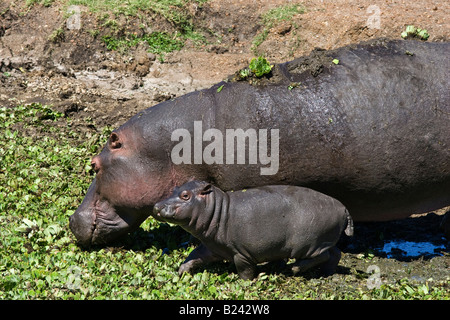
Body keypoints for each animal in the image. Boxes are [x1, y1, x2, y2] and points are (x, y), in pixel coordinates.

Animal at [153, 181, 354, 278]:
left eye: (185, 196)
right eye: (175, 188)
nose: (156, 205)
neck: (217, 208)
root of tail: (344, 207)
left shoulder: (241, 253)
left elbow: (244, 270)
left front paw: (245, 283)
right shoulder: (211, 247)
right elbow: (194, 256)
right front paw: (181, 272)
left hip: (307, 244)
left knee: (322, 255)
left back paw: (295, 268)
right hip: (323, 240)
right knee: (335, 253)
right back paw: (326, 273)